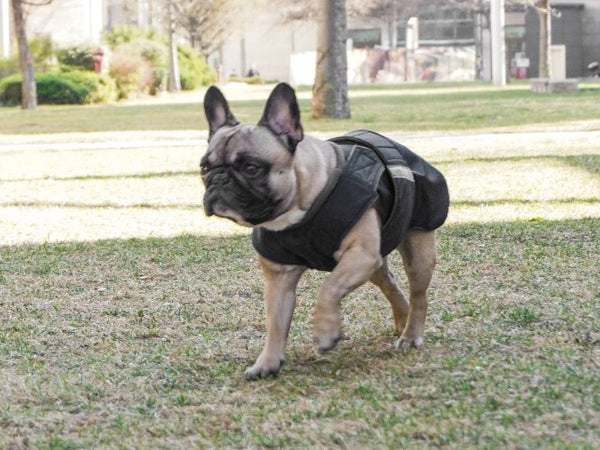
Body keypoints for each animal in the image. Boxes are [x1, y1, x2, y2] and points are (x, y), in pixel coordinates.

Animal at [202, 81, 450, 380]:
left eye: (251, 167)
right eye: (204, 168)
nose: (218, 180)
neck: (298, 207)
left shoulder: (359, 255)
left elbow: (328, 288)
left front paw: (325, 331)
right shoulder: (279, 277)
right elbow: (275, 323)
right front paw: (267, 363)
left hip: (415, 251)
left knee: (418, 294)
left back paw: (411, 335)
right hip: (376, 262)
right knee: (391, 285)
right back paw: (402, 318)